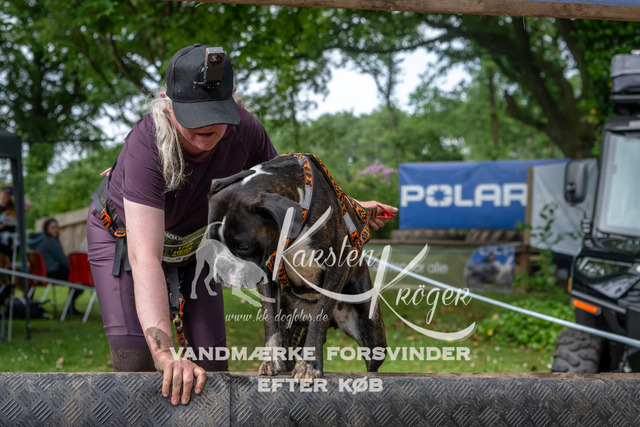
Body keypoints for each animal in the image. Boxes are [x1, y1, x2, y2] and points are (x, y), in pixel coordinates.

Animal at [207, 153, 387, 380]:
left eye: (243, 246)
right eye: (213, 243)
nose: (222, 270)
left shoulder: (337, 266)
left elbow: (320, 316)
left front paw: (310, 366)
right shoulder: (266, 270)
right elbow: (270, 321)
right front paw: (272, 361)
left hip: (374, 337)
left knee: (372, 362)